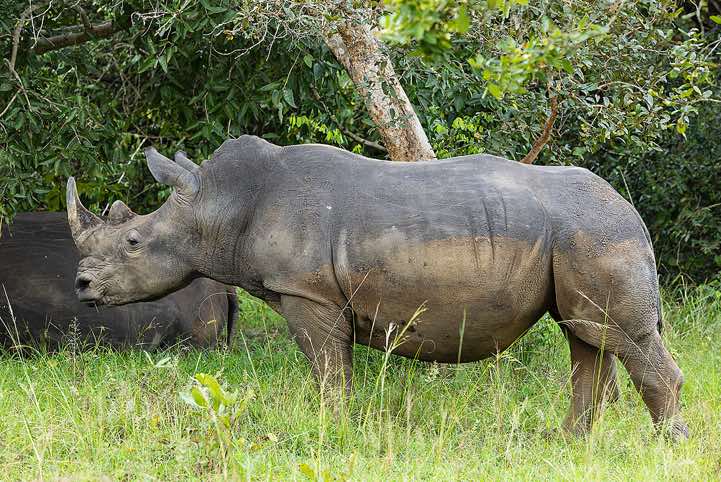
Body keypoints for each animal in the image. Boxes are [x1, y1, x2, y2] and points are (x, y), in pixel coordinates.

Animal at [66, 136, 687, 439]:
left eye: (134, 242)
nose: (81, 286)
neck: (219, 203)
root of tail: (632, 212)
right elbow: (334, 372)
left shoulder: (308, 293)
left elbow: (329, 374)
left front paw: (333, 431)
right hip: (580, 235)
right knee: (586, 335)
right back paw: (570, 443)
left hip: (596, 231)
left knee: (615, 336)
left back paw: (668, 447)